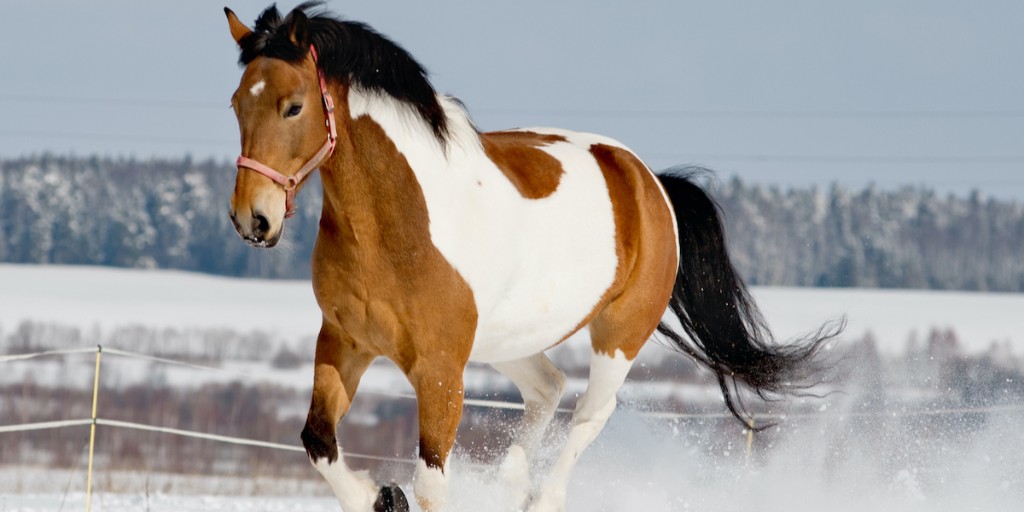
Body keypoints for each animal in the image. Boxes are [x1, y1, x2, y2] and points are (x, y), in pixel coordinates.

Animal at [223, 4, 839, 511]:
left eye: (293, 106)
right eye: (236, 104)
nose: (253, 219)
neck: (396, 226)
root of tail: (648, 181)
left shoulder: (440, 369)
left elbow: (430, 483)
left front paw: (395, 493)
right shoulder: (343, 341)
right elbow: (318, 442)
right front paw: (381, 496)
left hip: (618, 334)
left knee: (589, 413)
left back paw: (541, 496)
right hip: (507, 339)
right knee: (548, 387)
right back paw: (512, 485)